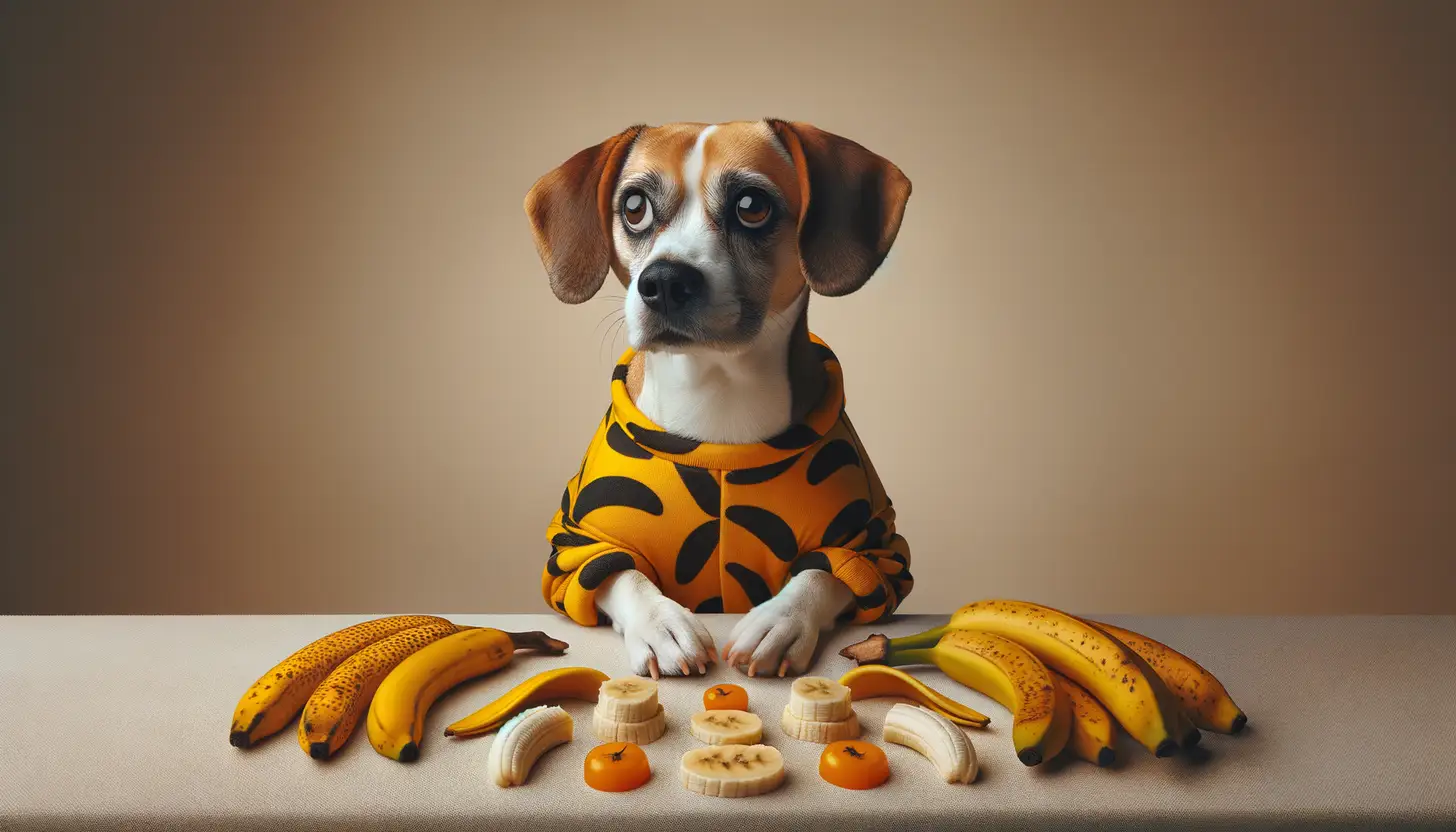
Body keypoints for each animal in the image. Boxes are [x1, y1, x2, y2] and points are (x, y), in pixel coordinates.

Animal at [524, 120, 908, 679]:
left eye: (751, 205)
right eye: (634, 206)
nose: (663, 280)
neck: (715, 396)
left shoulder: (878, 549)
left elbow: (826, 572)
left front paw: (780, 621)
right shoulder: (576, 547)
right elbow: (620, 574)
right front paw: (662, 623)